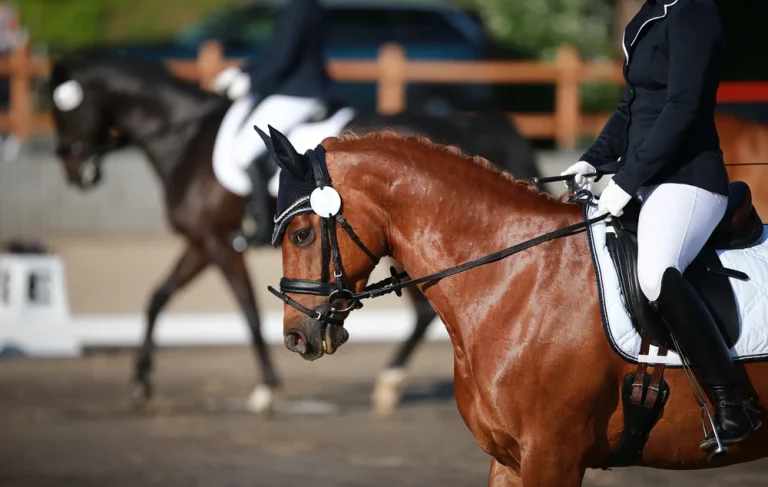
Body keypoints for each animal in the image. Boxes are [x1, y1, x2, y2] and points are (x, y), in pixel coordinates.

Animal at [46, 51, 540, 414]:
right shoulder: (201, 244)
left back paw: (389, 381)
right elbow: (157, 298)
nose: (75, 171)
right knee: (423, 314)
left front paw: (265, 388)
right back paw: (389, 383)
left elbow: (246, 311)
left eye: (61, 109)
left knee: (422, 312)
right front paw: (141, 380)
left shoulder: (217, 244)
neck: (187, 137)